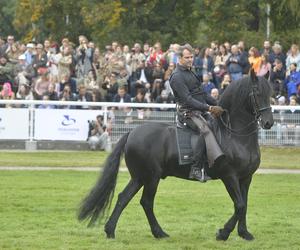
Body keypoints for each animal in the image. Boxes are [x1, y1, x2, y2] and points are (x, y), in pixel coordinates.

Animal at [78, 70, 274, 240]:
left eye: (270, 92)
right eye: (257, 93)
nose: (268, 123)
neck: (234, 135)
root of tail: (132, 133)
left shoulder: (246, 178)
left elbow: (244, 205)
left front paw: (244, 233)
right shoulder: (229, 176)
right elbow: (239, 205)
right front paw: (223, 233)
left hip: (140, 177)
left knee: (123, 198)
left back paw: (111, 230)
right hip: (151, 177)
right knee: (146, 202)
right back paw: (158, 232)